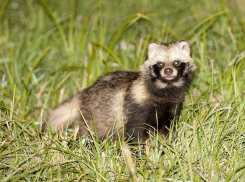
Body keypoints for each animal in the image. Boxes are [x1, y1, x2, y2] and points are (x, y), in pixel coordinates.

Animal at [41, 40, 195, 143]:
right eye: (160, 64)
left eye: (177, 62)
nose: (168, 71)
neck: (164, 93)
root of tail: (86, 91)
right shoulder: (135, 106)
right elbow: (135, 132)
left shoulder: (173, 108)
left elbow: (168, 130)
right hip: (93, 116)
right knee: (89, 130)